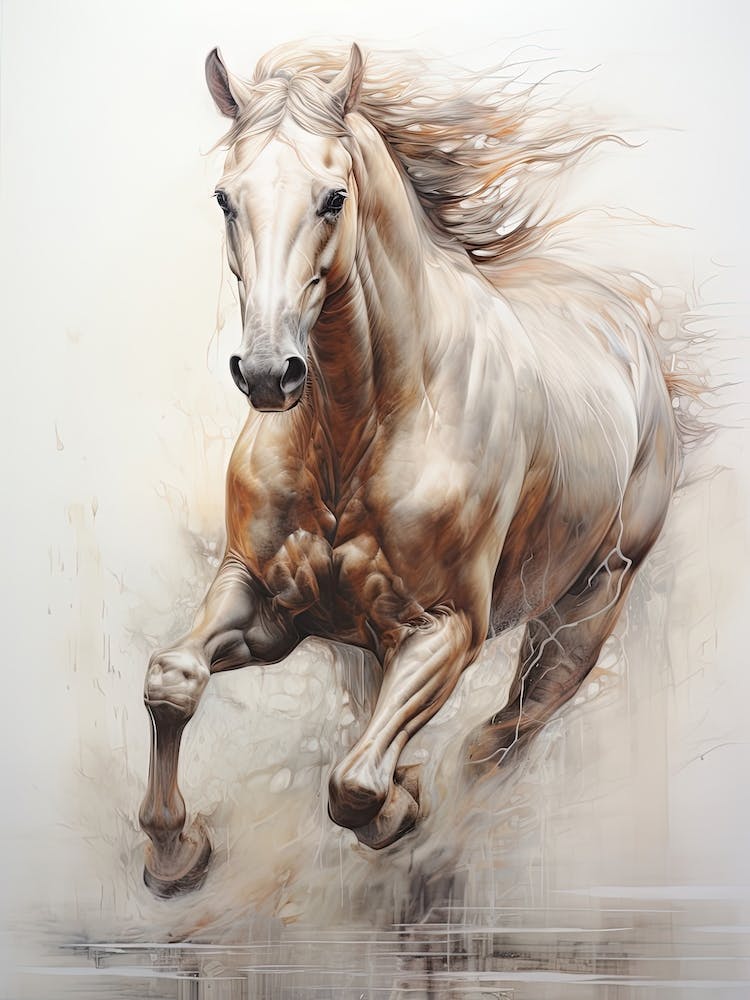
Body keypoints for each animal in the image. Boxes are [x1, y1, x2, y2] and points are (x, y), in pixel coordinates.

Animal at [138, 41, 680, 897]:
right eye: (226, 198)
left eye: (333, 198)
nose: (268, 374)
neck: (358, 432)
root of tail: (625, 323)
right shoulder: (266, 597)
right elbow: (173, 680)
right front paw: (174, 851)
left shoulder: (446, 629)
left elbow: (355, 786)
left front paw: (401, 806)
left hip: (591, 598)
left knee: (516, 724)